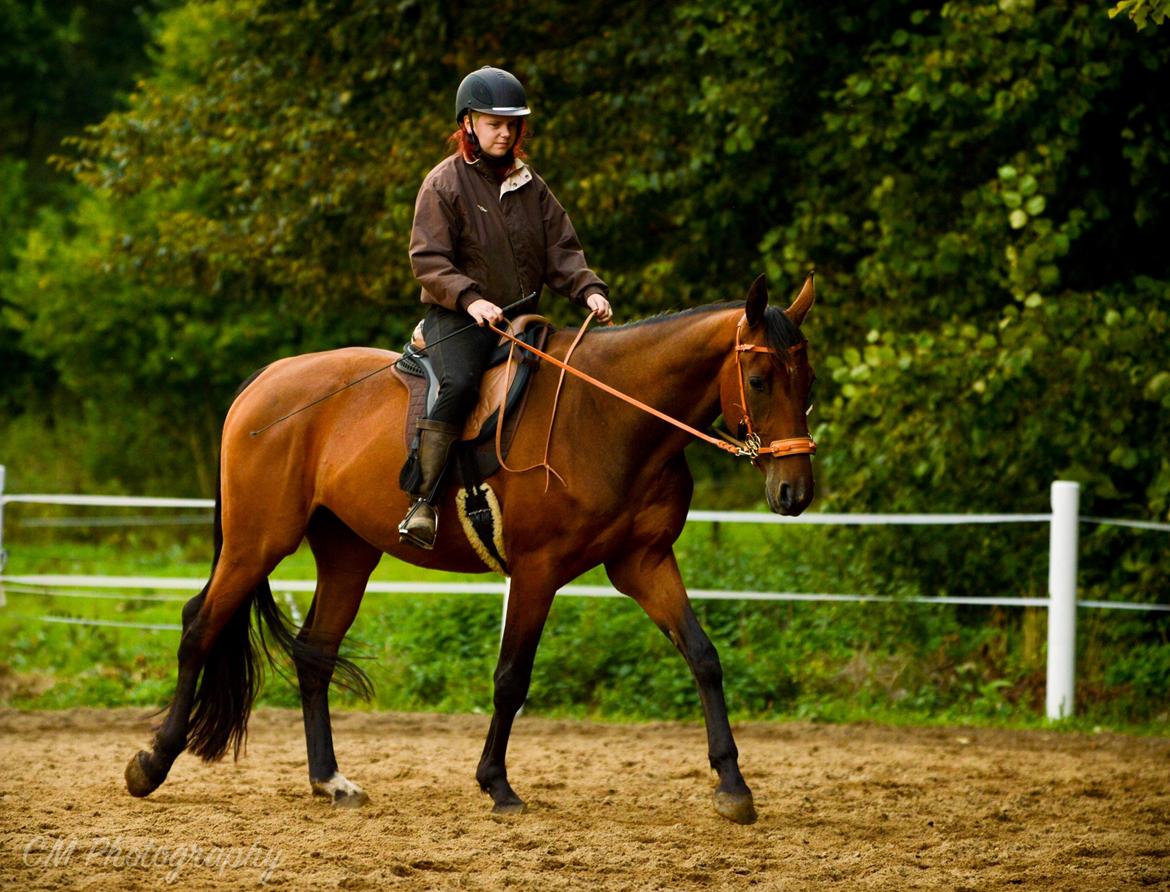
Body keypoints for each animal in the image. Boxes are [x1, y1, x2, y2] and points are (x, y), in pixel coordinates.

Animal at [121, 271, 814, 819]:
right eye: (758, 378)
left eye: (806, 379)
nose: (794, 491)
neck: (609, 417)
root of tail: (266, 380)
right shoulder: (537, 572)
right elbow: (511, 678)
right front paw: (497, 785)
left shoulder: (643, 562)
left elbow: (703, 656)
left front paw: (733, 785)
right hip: (255, 541)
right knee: (199, 627)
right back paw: (151, 764)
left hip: (347, 553)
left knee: (314, 654)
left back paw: (330, 781)